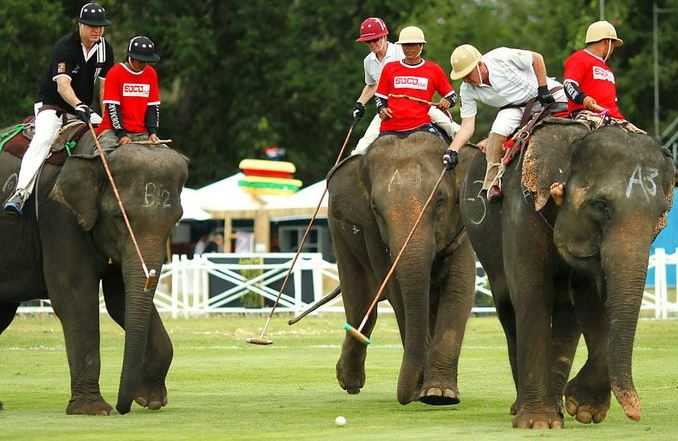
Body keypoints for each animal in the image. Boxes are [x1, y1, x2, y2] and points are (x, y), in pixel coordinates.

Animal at [0, 129, 189, 414]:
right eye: (120, 217)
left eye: (176, 220)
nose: (124, 407)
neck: (96, 153)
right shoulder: (59, 218)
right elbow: (75, 297)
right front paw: (94, 409)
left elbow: (119, 300)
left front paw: (151, 400)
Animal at [326, 129, 476, 404]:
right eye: (376, 208)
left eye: (441, 200)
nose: (406, 397)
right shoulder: (373, 232)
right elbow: (398, 293)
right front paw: (422, 392)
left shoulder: (461, 227)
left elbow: (460, 287)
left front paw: (440, 394)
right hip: (338, 230)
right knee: (360, 302)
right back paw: (350, 382)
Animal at [460, 119, 676, 426]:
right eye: (600, 205)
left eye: (662, 212)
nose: (635, 411)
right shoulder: (522, 206)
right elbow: (532, 290)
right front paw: (538, 423)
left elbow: (593, 299)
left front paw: (583, 408)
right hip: (481, 234)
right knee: (507, 303)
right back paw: (523, 406)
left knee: (566, 309)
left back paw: (557, 405)